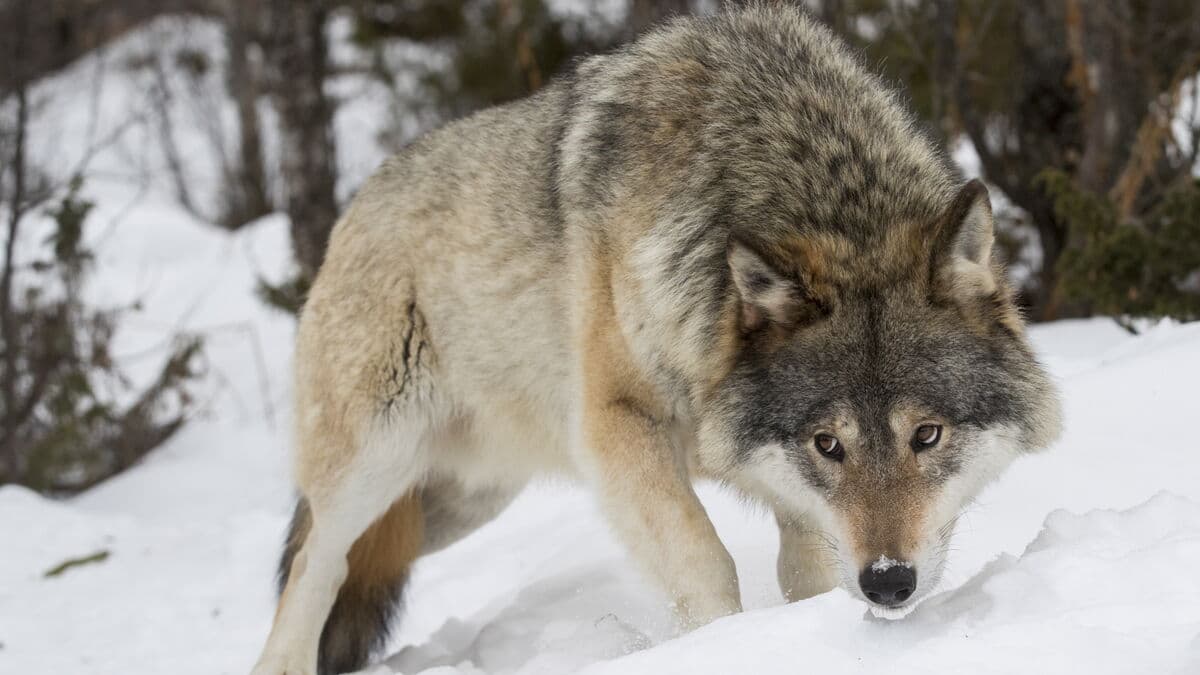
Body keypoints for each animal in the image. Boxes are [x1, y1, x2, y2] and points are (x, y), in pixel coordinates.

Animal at [250, 5, 1062, 675]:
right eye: (829, 444)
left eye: (927, 435)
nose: (888, 583)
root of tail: (353, 207)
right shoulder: (616, 427)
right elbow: (703, 562)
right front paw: (720, 646)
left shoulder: (793, 494)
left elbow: (807, 572)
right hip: (374, 466)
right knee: (312, 571)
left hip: (458, 505)